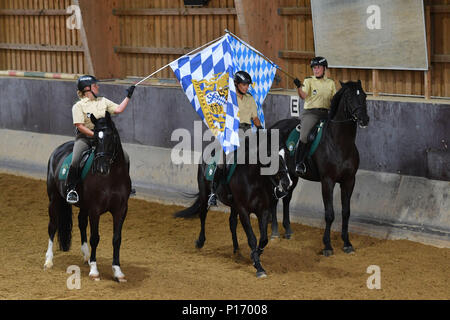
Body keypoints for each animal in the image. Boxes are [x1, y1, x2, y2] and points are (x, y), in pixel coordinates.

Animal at [43, 111, 130, 282]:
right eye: (95, 138)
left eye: (111, 137)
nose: (101, 168)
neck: (112, 177)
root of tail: (58, 150)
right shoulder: (95, 210)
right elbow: (95, 237)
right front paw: (94, 271)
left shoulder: (121, 210)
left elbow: (117, 239)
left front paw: (117, 271)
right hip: (54, 200)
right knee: (53, 226)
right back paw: (49, 260)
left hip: (83, 205)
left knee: (81, 223)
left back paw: (86, 256)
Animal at [172, 132, 292, 278]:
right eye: (271, 156)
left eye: (287, 155)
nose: (288, 183)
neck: (253, 179)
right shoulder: (243, 210)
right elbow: (252, 238)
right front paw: (259, 267)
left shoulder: (262, 210)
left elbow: (263, 239)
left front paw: (255, 256)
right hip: (205, 193)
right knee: (203, 215)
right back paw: (200, 241)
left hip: (234, 206)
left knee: (232, 223)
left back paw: (236, 250)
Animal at [270, 81, 370, 256]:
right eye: (350, 97)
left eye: (364, 96)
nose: (364, 119)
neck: (339, 143)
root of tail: (274, 126)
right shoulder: (327, 181)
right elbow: (329, 214)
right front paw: (327, 246)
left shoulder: (349, 181)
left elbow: (346, 212)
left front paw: (347, 243)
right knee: (276, 197)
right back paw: (274, 232)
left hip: (292, 176)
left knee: (287, 198)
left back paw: (288, 231)